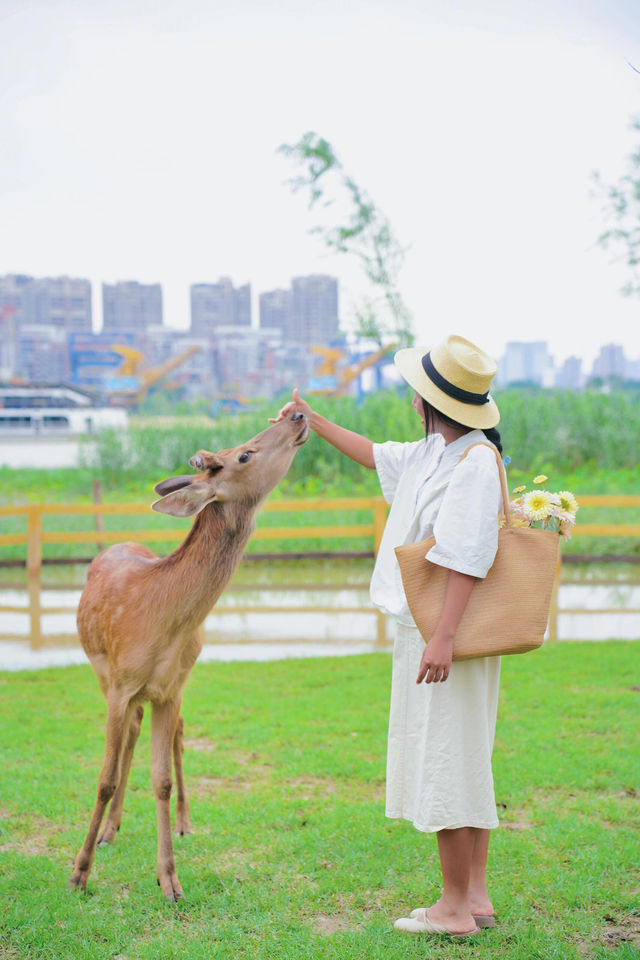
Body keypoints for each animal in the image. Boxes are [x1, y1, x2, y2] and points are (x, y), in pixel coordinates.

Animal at [69, 410, 308, 900]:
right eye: (245, 454)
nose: (297, 414)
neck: (159, 624)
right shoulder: (119, 684)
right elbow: (104, 778)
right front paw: (80, 873)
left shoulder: (169, 688)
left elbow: (159, 779)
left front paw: (170, 881)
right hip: (102, 673)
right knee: (129, 734)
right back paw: (108, 832)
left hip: (177, 680)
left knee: (169, 732)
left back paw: (172, 823)